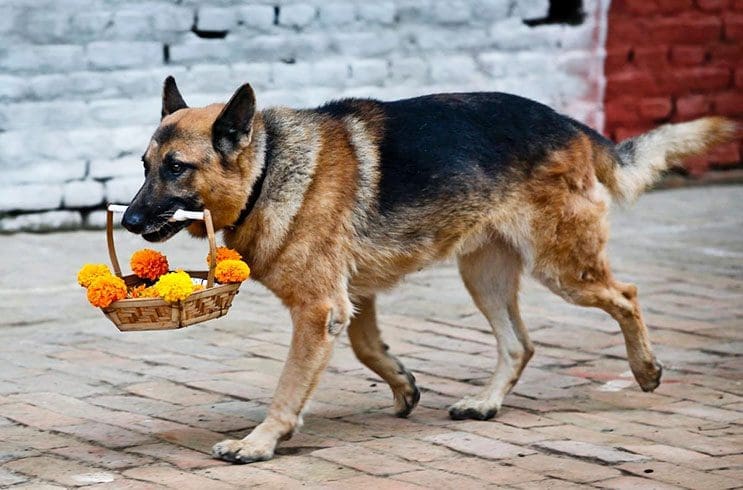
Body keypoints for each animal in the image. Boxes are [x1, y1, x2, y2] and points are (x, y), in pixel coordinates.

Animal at [123, 76, 740, 464]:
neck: (269, 167)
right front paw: (403, 385)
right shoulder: (352, 302)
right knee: (519, 344)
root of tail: (570, 124)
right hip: (484, 276)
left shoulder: (320, 310)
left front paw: (260, 442)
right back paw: (486, 402)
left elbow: (290, 385)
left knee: (627, 294)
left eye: (176, 169)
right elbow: (368, 349)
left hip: (562, 270)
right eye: (145, 167)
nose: (127, 221)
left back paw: (646, 370)